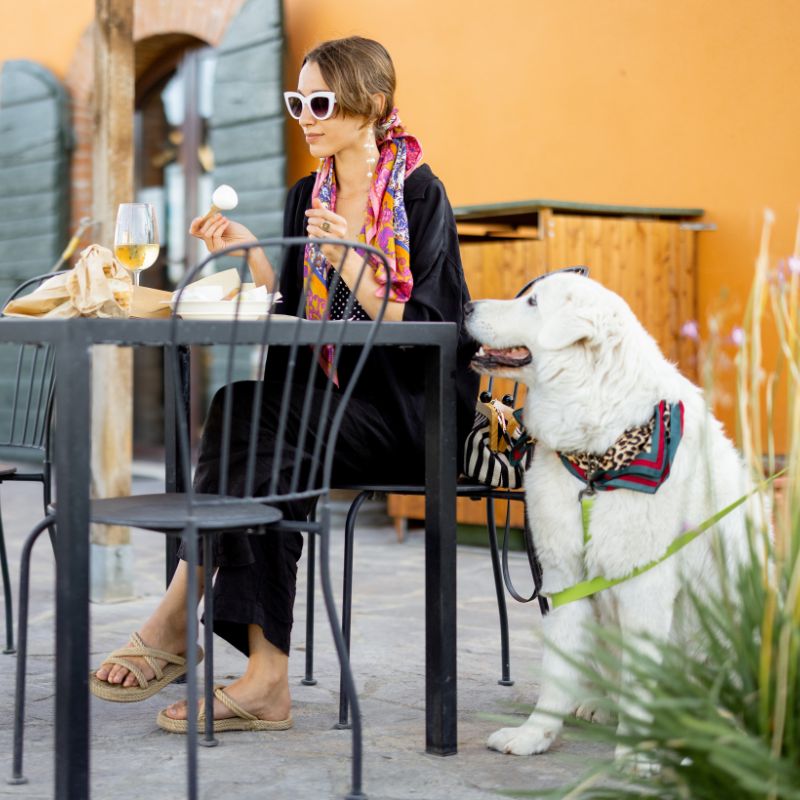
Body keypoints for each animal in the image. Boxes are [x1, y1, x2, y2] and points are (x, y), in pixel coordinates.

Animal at [462, 274, 756, 764]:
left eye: (532, 302)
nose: (466, 306)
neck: (596, 460)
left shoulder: (644, 583)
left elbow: (640, 683)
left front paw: (636, 757)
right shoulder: (564, 578)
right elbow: (556, 675)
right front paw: (534, 736)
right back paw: (598, 707)